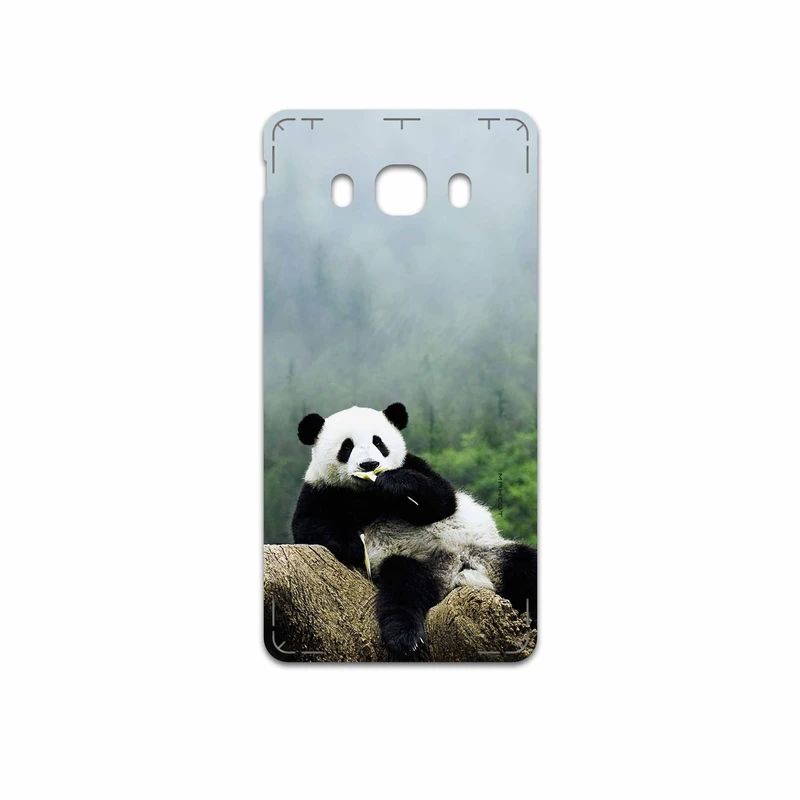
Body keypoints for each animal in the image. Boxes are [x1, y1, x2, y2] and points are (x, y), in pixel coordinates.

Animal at [292, 402, 537, 660]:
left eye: (378, 442)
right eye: (346, 446)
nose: (369, 465)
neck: (368, 494)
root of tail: (456, 573)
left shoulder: (414, 464)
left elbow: (442, 500)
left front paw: (394, 483)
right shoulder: (320, 490)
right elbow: (308, 526)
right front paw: (354, 546)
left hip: (489, 552)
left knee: (526, 565)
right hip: (411, 562)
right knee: (404, 589)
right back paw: (406, 638)